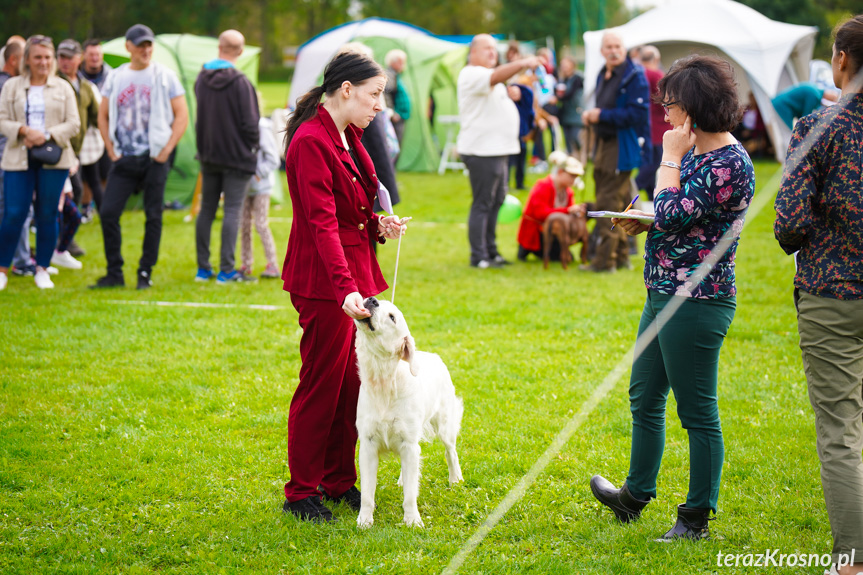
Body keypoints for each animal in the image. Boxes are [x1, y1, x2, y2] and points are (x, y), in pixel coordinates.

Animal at [352, 300, 462, 528]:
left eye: (392, 317)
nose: (372, 300)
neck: (384, 382)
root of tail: (434, 356)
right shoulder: (368, 444)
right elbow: (367, 494)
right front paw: (364, 521)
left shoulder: (409, 443)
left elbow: (411, 494)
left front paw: (412, 520)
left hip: (444, 425)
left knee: (451, 451)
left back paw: (456, 479)